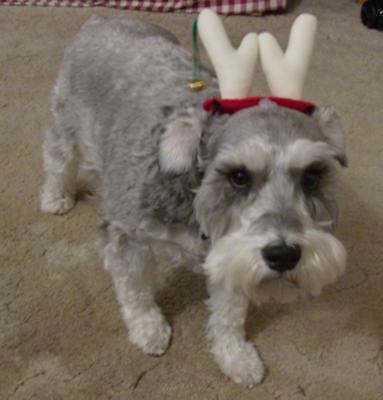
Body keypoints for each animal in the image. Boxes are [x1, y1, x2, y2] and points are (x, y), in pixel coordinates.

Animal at [41, 15, 348, 388]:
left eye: (313, 176)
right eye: (238, 176)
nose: (283, 255)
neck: (194, 198)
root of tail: (104, 17)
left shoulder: (228, 253)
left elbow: (229, 314)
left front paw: (236, 357)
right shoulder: (125, 238)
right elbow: (134, 291)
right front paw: (148, 329)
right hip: (64, 122)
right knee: (57, 158)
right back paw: (55, 196)